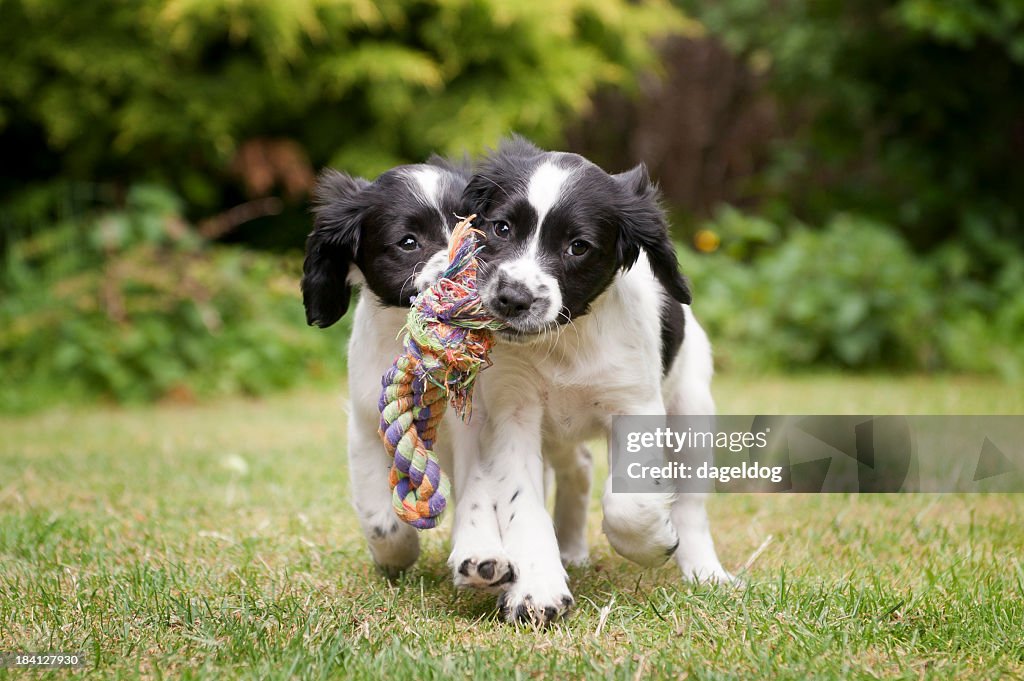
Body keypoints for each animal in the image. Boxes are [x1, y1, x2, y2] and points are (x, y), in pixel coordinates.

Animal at [452, 135, 733, 622]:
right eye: (501, 228)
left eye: (578, 246)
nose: (512, 298)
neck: (565, 340)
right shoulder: (513, 412)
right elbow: (523, 505)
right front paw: (539, 589)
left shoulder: (635, 406)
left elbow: (627, 503)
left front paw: (653, 541)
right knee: (579, 467)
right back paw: (570, 550)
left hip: (692, 408)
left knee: (693, 505)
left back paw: (704, 572)